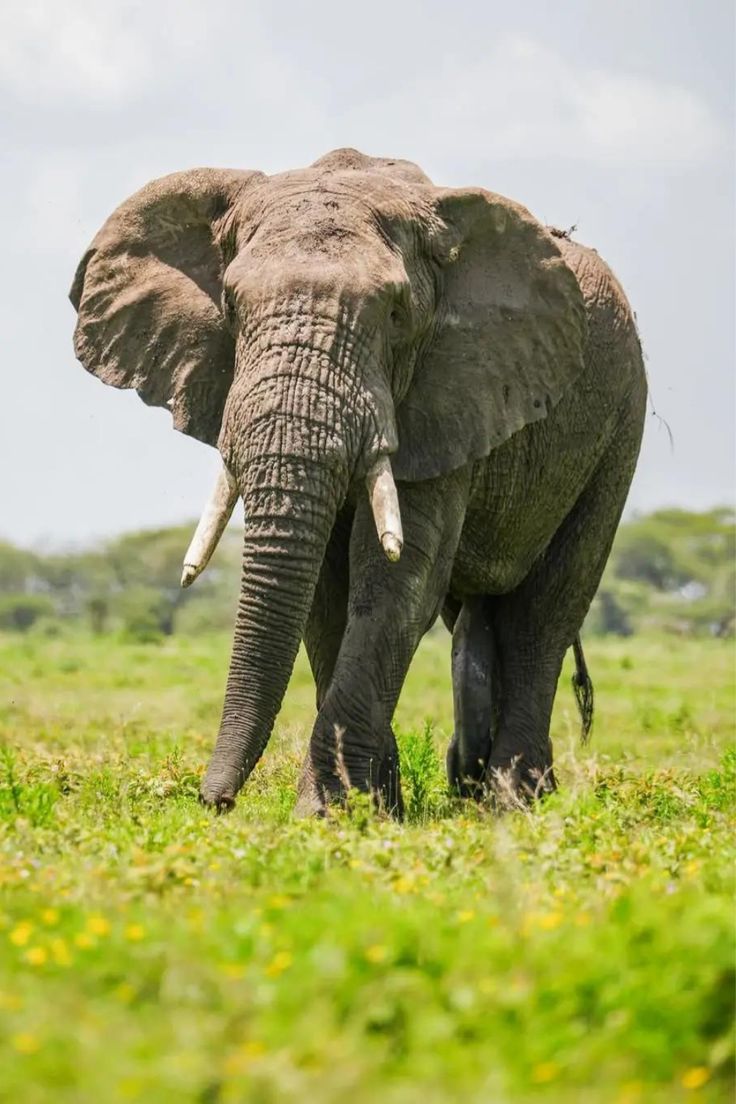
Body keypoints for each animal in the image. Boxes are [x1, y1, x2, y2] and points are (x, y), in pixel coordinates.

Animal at [70, 147, 646, 816]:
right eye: (231, 308)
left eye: (396, 315)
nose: (214, 801)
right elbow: (325, 594)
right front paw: (371, 807)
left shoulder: (446, 393)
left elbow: (398, 581)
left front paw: (328, 812)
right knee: (478, 615)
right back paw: (474, 790)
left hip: (618, 424)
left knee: (544, 610)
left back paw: (513, 802)